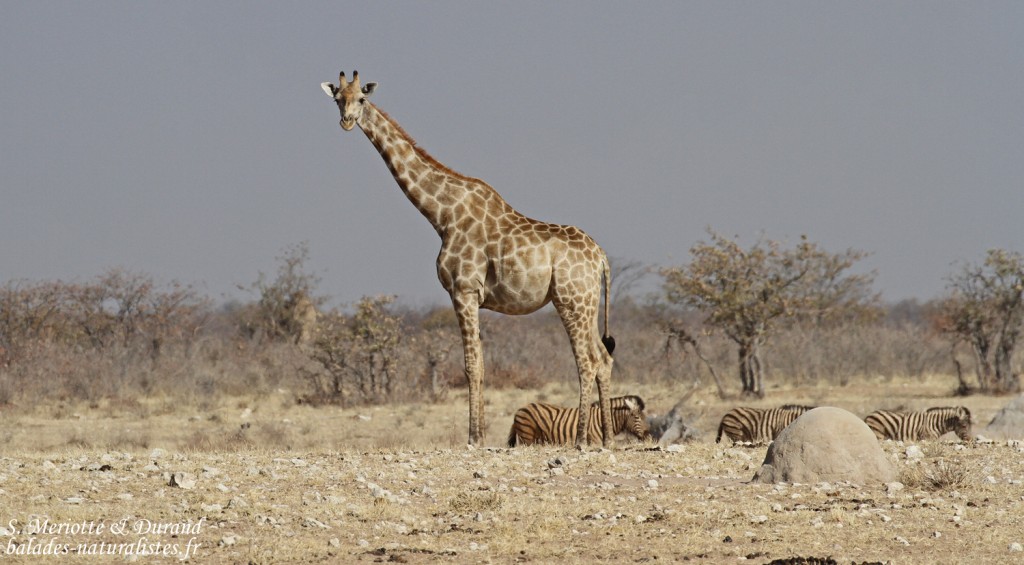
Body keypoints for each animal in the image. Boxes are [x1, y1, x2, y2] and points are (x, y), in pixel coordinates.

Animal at [321, 70, 616, 447]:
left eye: (361, 99)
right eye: (337, 99)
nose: (346, 121)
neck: (442, 215)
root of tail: (601, 257)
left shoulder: (462, 290)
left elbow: (470, 365)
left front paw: (474, 437)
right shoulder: (472, 296)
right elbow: (482, 364)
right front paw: (482, 433)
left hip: (571, 301)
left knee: (587, 361)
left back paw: (581, 439)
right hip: (588, 303)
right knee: (603, 358)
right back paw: (607, 438)